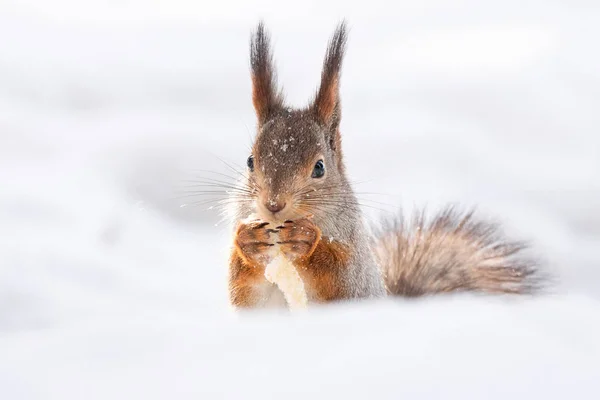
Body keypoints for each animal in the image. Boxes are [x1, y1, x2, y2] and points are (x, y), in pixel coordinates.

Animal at [226, 21, 540, 310]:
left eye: (319, 168)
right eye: (250, 161)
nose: (273, 204)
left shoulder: (355, 270)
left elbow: (340, 282)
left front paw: (307, 242)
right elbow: (243, 291)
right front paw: (248, 240)